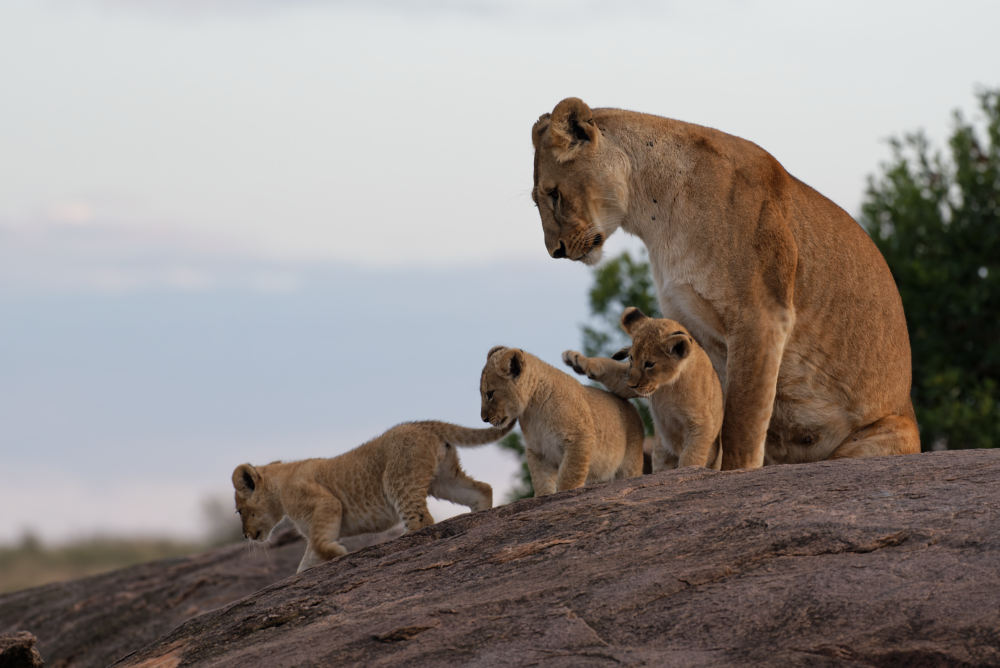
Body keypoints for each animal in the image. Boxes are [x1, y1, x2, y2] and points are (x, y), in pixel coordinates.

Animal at [536, 98, 916, 470]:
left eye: (553, 194)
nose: (555, 251)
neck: (655, 217)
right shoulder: (690, 324)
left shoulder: (762, 316)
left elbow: (741, 423)